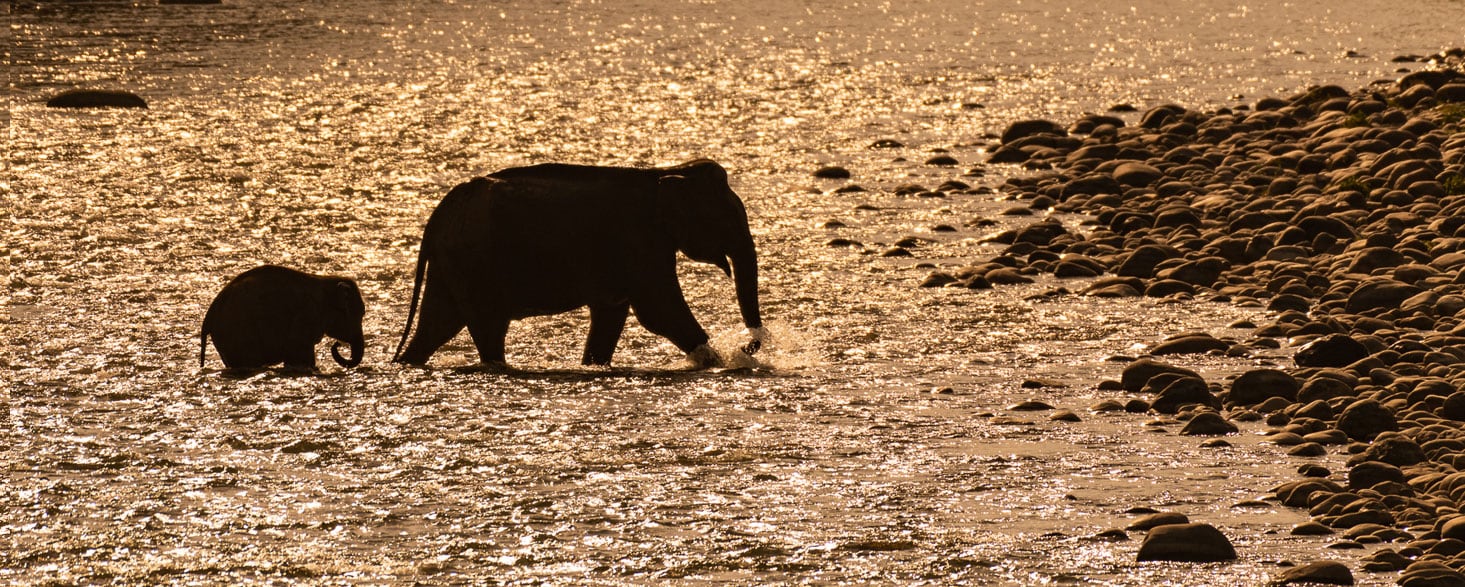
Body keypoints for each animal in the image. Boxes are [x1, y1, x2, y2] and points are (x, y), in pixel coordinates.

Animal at [392, 158, 767, 368]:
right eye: (726, 219)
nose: (747, 346)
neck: (665, 173)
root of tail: (439, 213)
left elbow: (612, 314)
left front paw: (593, 366)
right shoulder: (640, 241)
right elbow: (659, 311)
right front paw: (721, 363)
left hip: (452, 264)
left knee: (436, 325)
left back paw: (407, 364)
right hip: (473, 264)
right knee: (486, 328)